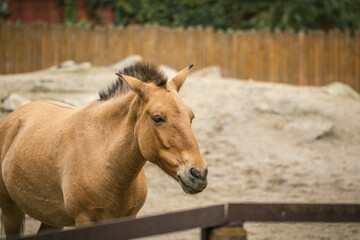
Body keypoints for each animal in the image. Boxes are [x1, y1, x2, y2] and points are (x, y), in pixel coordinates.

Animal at [0, 62, 208, 237]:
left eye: (191, 116)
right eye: (158, 118)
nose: (199, 174)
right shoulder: (85, 220)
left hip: (50, 218)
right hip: (11, 211)